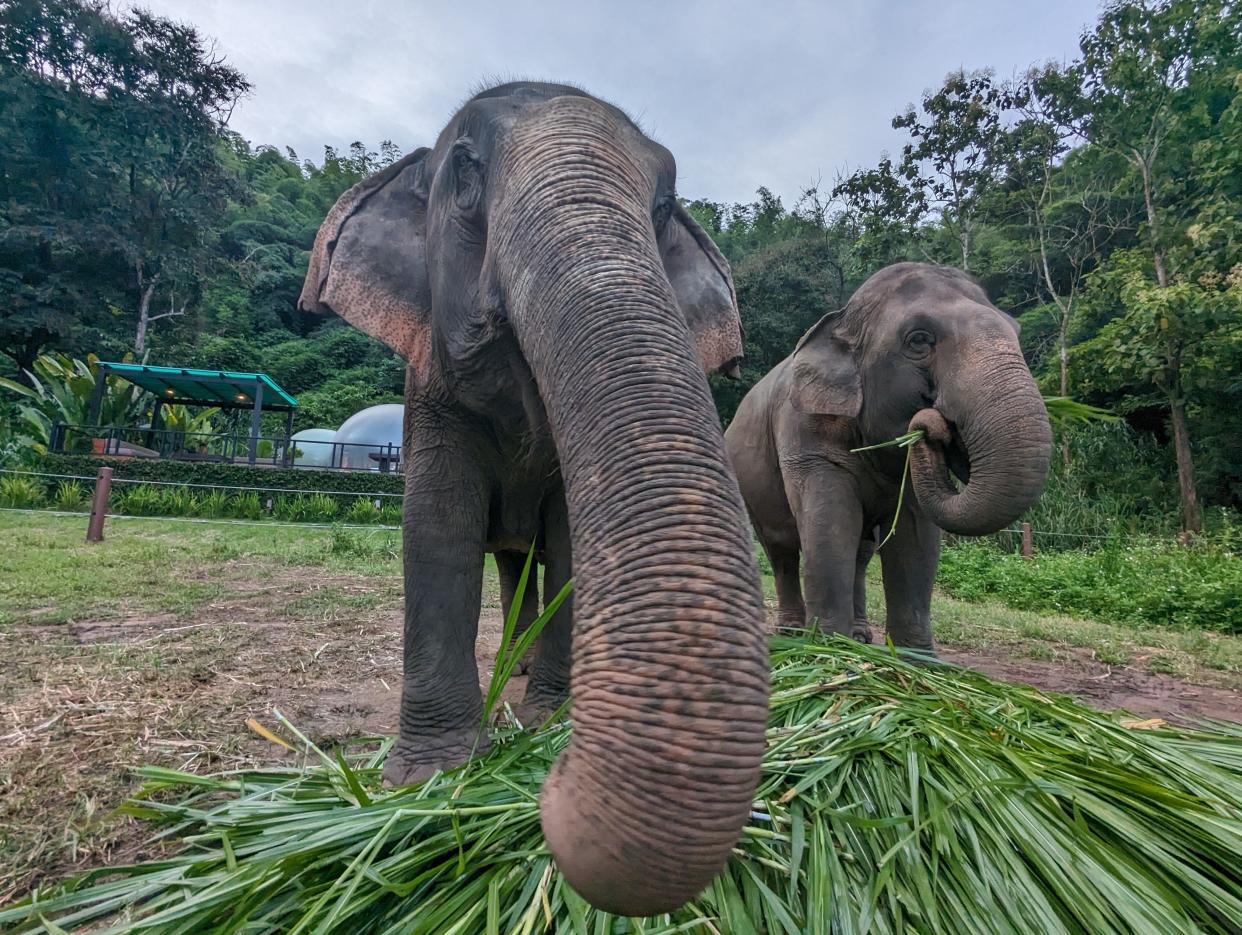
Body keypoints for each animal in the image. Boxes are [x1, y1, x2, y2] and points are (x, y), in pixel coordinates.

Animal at [296, 83, 770, 913]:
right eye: (464, 173)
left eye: (665, 204)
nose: (552, 787)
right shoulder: (430, 394)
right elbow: (436, 529)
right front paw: (434, 776)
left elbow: (573, 544)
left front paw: (548, 718)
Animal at [725, 260, 1048, 650]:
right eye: (919, 340)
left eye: (1016, 331)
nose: (931, 426)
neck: (843, 320)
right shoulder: (803, 429)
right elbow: (830, 524)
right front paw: (830, 649)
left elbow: (916, 538)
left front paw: (915, 659)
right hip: (747, 486)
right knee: (780, 547)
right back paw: (793, 632)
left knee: (861, 552)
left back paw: (860, 635)